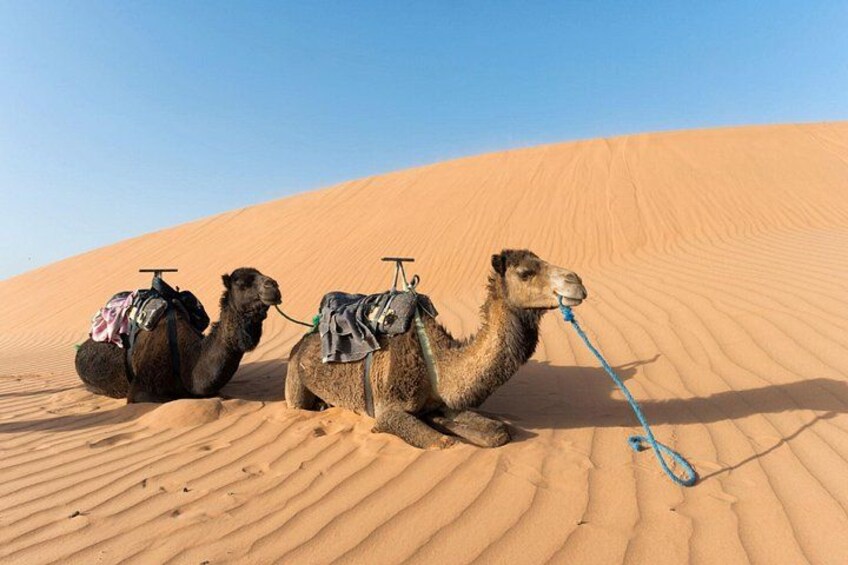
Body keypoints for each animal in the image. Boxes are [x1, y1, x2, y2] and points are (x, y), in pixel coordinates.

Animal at [285, 249, 587, 449]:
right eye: (525, 273)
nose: (576, 281)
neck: (436, 363)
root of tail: (302, 340)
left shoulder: (444, 401)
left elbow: (498, 431)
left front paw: (442, 420)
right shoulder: (388, 411)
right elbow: (442, 443)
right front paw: (443, 428)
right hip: (295, 381)